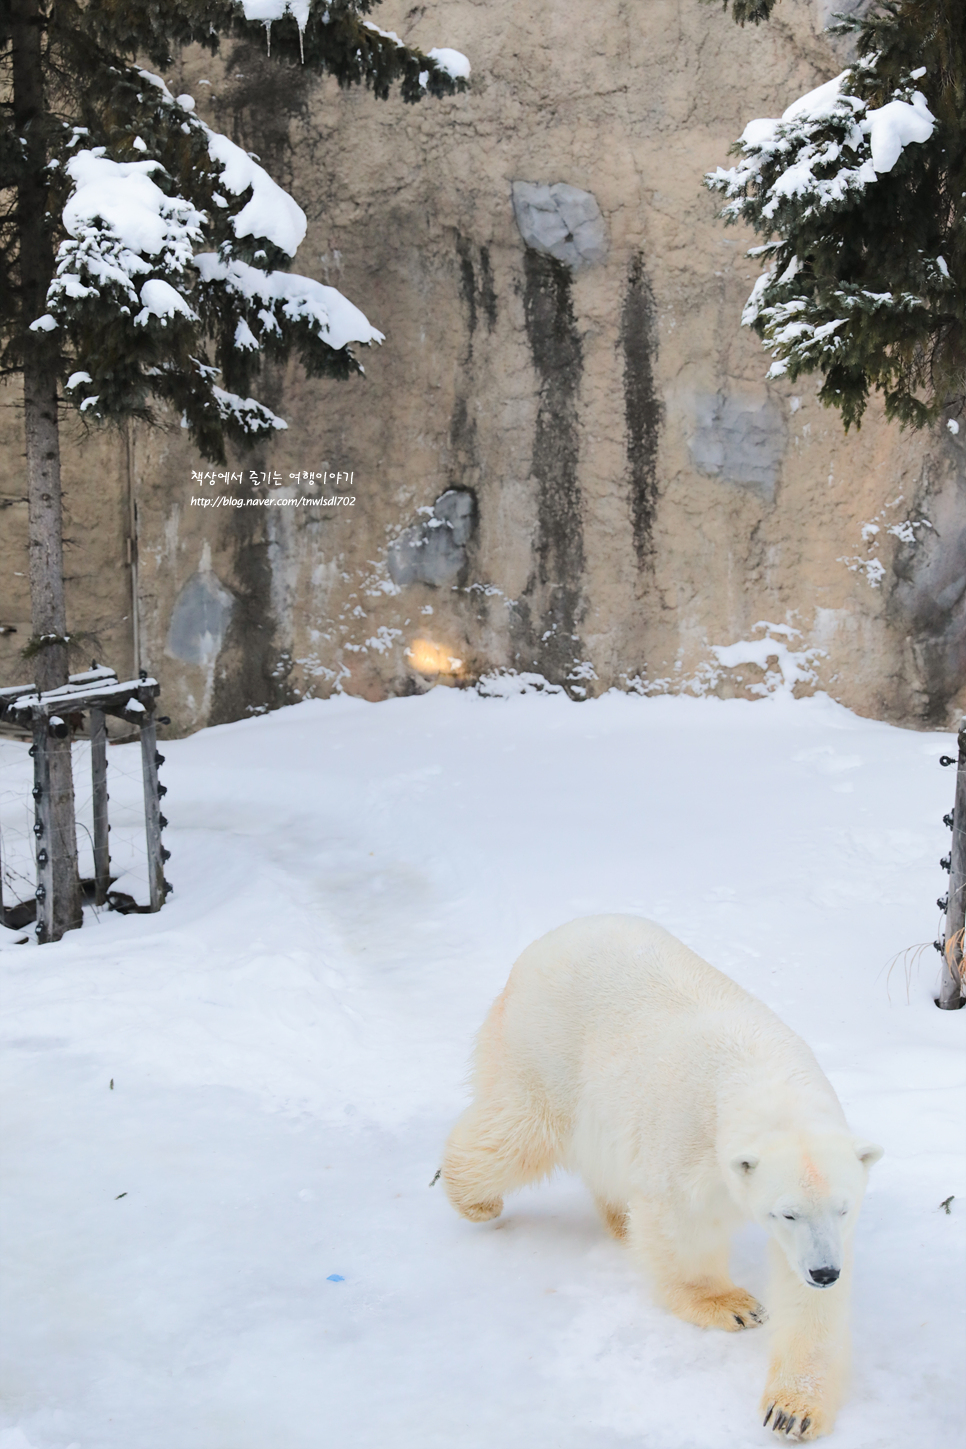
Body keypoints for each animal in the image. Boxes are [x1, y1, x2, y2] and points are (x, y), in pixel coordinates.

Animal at [443, 915, 880, 1437]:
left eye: (843, 1208)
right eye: (787, 1213)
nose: (825, 1273)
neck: (764, 1078)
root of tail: (548, 939)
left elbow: (807, 1299)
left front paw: (792, 1410)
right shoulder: (688, 1140)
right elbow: (682, 1226)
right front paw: (732, 1305)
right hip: (549, 1048)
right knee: (520, 1129)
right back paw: (472, 1197)